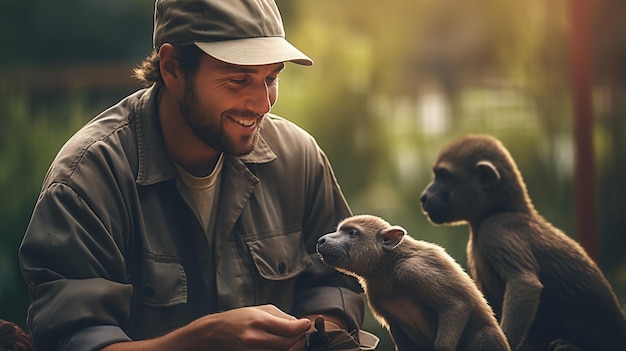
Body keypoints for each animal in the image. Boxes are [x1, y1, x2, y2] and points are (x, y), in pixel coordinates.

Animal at [314, 214, 510, 351]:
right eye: (340, 230)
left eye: (352, 233)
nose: (321, 240)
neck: (388, 267)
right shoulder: (378, 298)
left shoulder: (413, 270)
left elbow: (457, 304)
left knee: (483, 336)